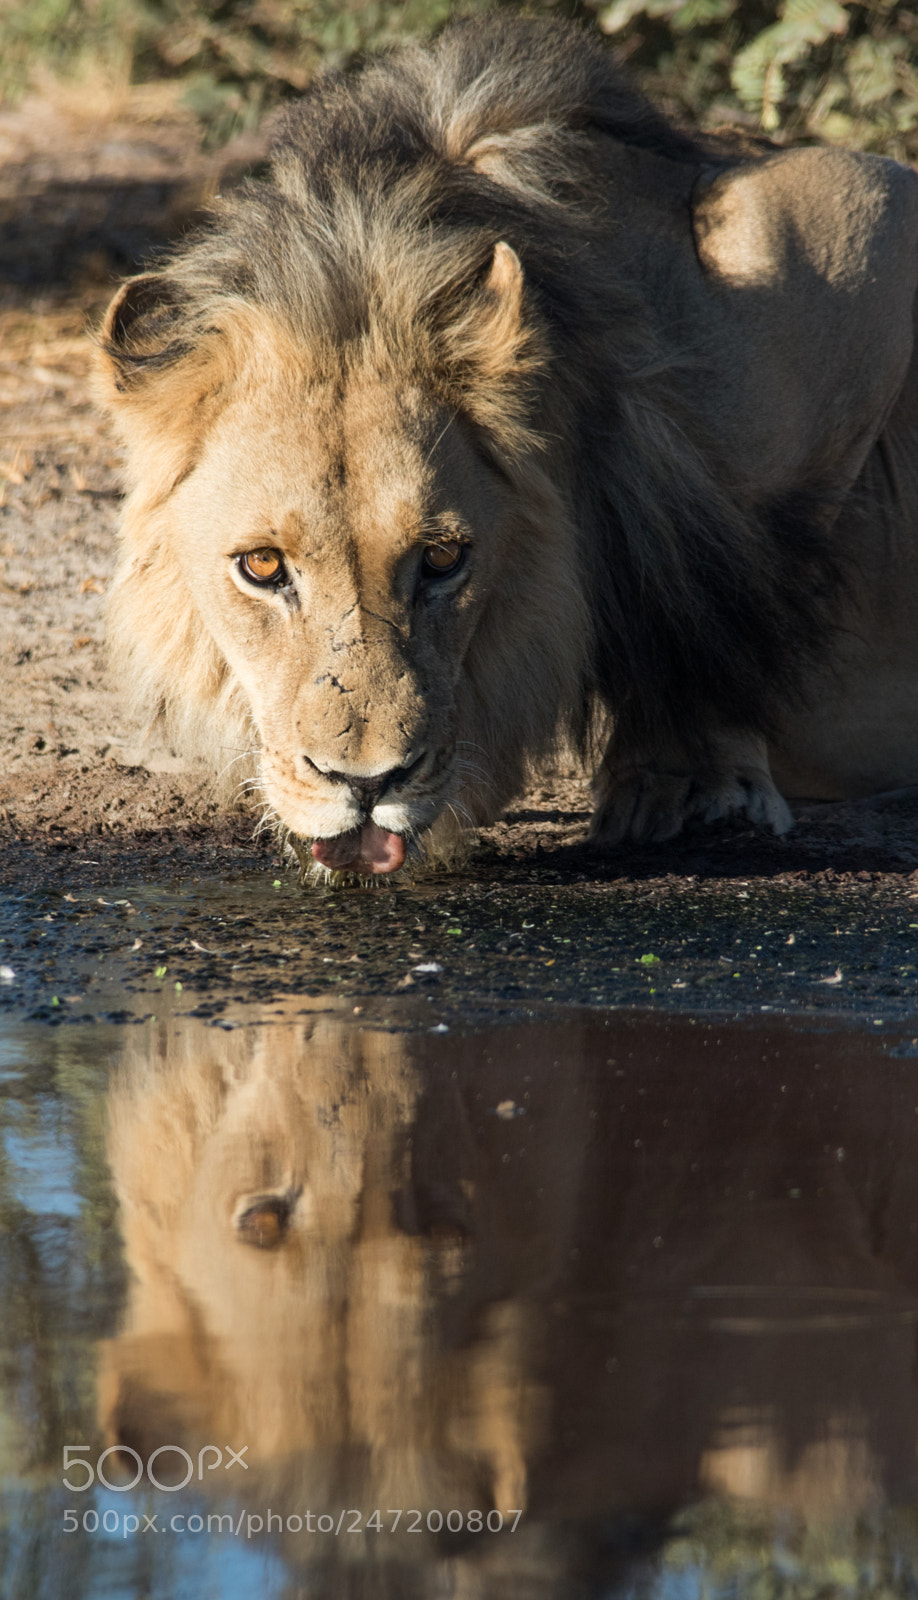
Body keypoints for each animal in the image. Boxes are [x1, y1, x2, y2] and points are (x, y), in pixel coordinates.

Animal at [96, 14, 918, 875]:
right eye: (261, 566)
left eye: (443, 559)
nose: (368, 782)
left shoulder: (865, 212)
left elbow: (727, 592)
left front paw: (690, 784)